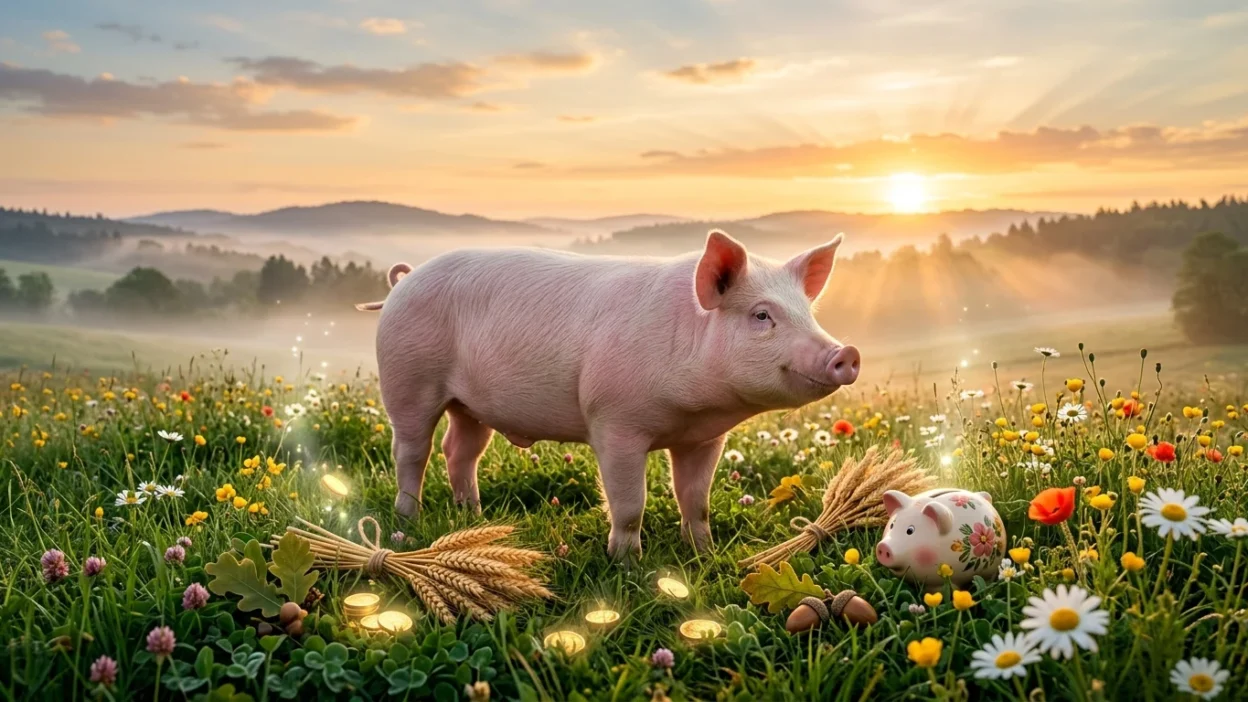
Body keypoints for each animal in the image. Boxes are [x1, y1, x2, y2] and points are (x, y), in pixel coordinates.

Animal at [356, 230, 860, 559]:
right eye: (761, 315)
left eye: (808, 313)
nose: (847, 352)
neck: (694, 408)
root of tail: (403, 281)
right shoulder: (614, 422)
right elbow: (630, 503)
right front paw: (626, 564)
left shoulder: (704, 438)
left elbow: (695, 499)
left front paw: (704, 553)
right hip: (407, 379)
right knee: (412, 449)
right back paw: (408, 521)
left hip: (470, 405)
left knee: (459, 449)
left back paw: (473, 518)